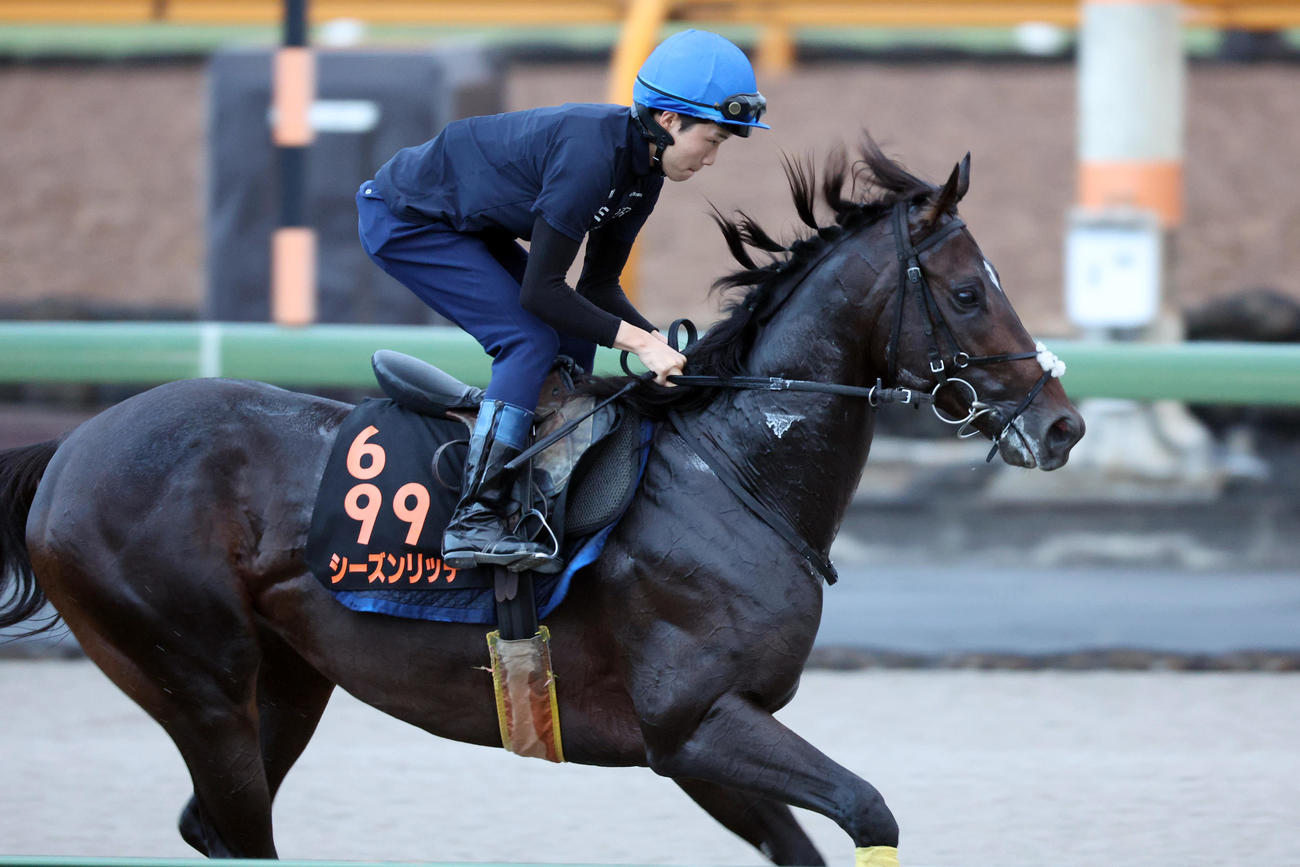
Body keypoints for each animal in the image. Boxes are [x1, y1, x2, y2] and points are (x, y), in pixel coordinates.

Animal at [0, 138, 1083, 864]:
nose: (1063, 425)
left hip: (291, 677)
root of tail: (71, 448)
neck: (731, 473)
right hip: (198, 677)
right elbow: (868, 810)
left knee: (217, 827)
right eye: (967, 294)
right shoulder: (696, 719)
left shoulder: (694, 747)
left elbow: (807, 841)